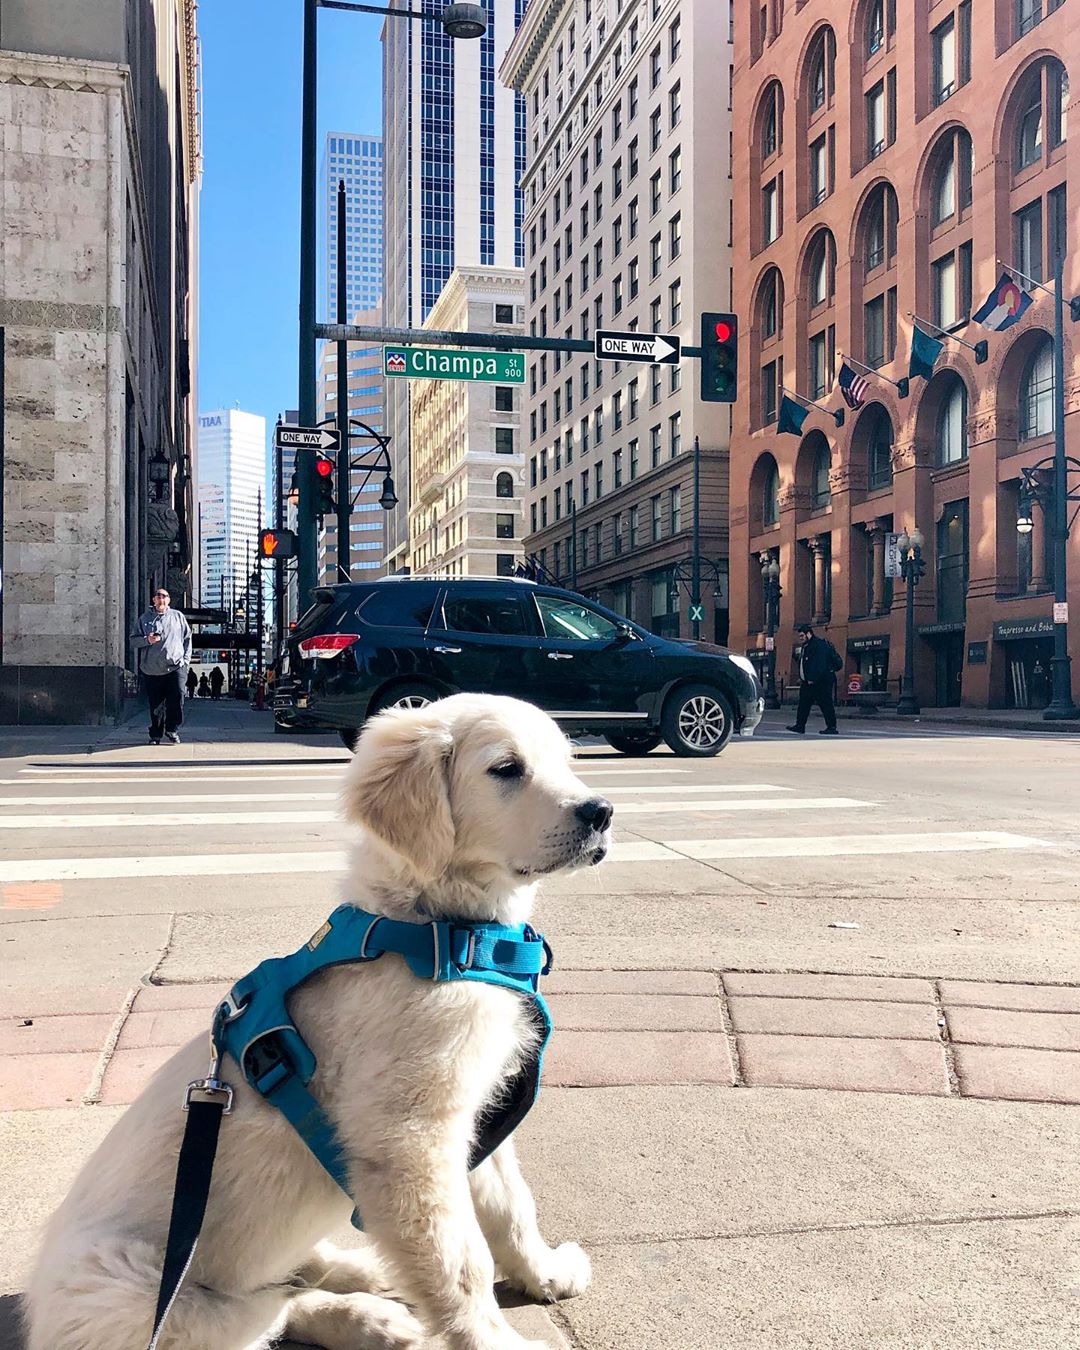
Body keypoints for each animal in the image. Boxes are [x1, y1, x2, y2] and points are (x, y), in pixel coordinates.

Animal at [25, 696, 612, 1350]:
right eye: (507, 769)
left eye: (565, 761)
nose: (602, 812)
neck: (430, 933)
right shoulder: (409, 1144)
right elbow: (462, 1263)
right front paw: (493, 1340)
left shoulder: (472, 1117)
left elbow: (513, 1207)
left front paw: (544, 1272)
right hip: (150, 1303)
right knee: (264, 1312)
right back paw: (366, 1312)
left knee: (290, 1284)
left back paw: (367, 1286)